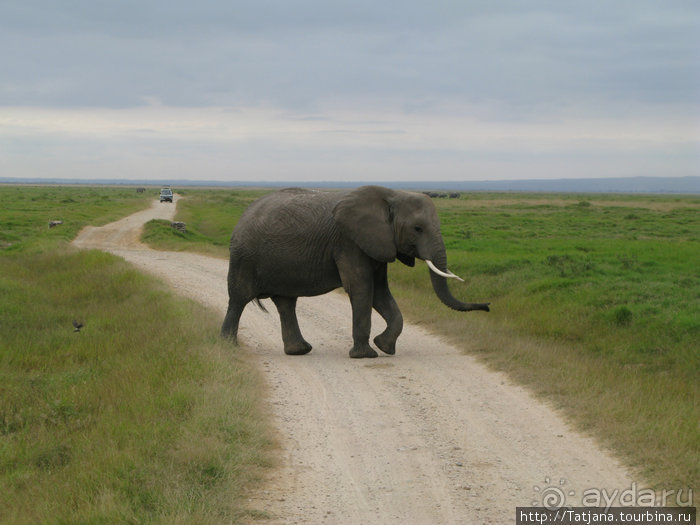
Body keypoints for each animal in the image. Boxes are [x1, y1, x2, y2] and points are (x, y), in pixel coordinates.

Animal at [221, 184, 490, 356]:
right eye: (417, 229)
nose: (487, 306)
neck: (392, 195)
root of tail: (242, 216)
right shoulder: (348, 241)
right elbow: (361, 288)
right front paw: (366, 355)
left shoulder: (377, 243)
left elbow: (380, 292)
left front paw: (384, 347)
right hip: (244, 257)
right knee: (239, 298)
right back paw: (228, 347)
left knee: (286, 302)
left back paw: (300, 351)